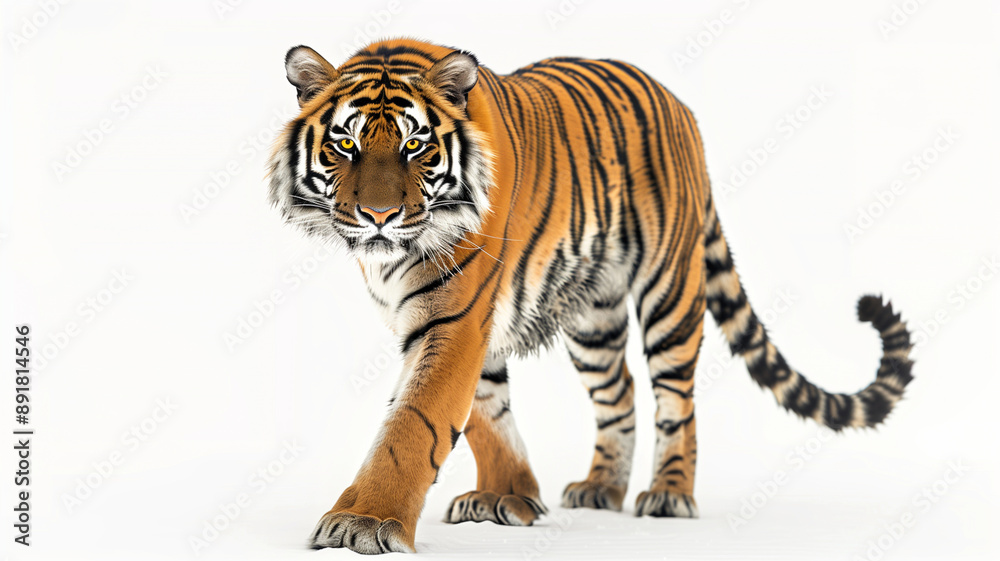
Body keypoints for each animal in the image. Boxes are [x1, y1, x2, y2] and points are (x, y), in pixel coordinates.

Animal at [266, 38, 915, 554]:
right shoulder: (454, 323)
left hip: (670, 292)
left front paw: (363, 523)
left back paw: (668, 495)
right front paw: (510, 497)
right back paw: (601, 488)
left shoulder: (455, 319)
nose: (379, 217)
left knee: (677, 399)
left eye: (415, 148)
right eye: (345, 147)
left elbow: (416, 422)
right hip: (594, 316)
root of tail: (682, 108)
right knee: (619, 390)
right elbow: (484, 413)